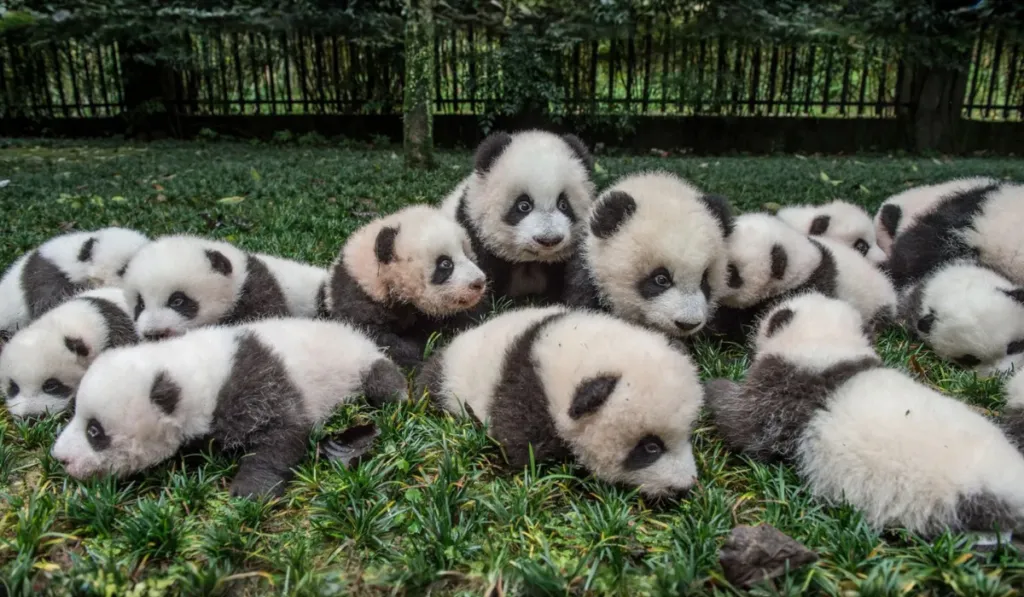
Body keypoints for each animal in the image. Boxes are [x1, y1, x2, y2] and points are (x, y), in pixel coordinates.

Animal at [50, 317, 407, 499]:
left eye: (94, 431)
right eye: (75, 415)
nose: (61, 458)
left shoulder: (257, 384)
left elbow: (284, 432)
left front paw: (249, 490)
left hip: (356, 362)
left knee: (382, 380)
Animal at [415, 306, 704, 498]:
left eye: (688, 434)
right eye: (650, 447)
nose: (684, 486)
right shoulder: (527, 392)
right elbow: (520, 445)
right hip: (451, 381)